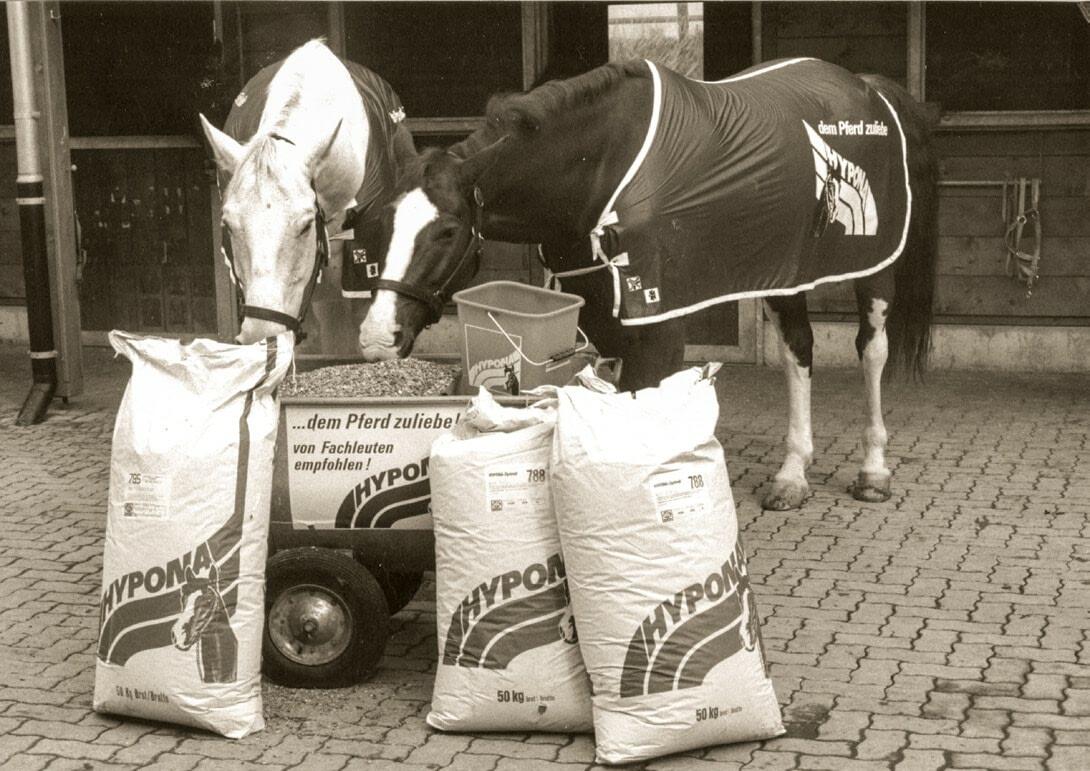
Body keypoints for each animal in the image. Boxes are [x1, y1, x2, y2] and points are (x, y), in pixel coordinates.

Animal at [358, 57, 938, 512]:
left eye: (448, 230)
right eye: (381, 225)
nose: (378, 336)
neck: (599, 172)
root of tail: (866, 86)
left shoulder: (657, 324)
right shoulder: (600, 317)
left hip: (873, 272)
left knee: (872, 351)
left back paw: (873, 470)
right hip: (786, 270)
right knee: (799, 351)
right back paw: (792, 476)